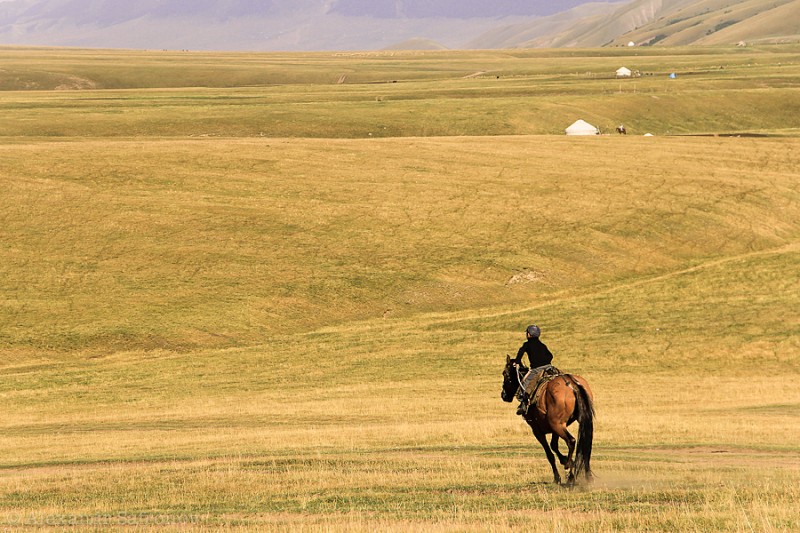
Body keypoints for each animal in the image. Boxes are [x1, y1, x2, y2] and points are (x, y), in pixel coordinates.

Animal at [500, 356, 592, 484]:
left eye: (505, 373)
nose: (503, 395)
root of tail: (572, 384)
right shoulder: (555, 429)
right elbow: (554, 446)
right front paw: (565, 460)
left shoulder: (537, 430)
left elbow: (549, 454)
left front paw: (557, 476)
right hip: (571, 423)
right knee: (585, 444)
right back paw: (587, 475)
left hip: (557, 425)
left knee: (571, 441)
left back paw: (570, 475)